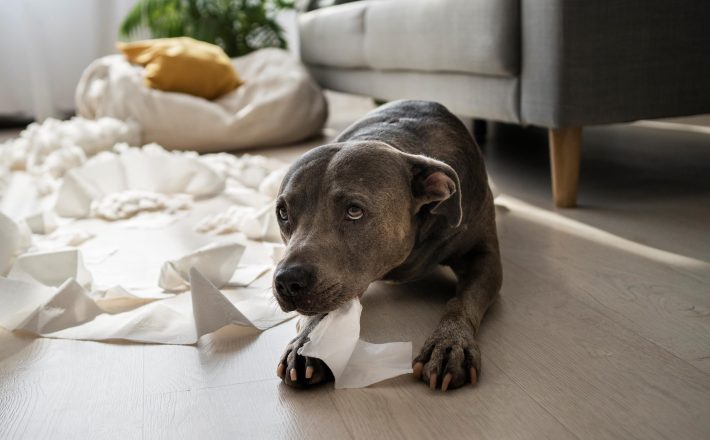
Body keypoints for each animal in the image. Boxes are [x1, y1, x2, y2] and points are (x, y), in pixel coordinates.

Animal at [276, 99, 504, 392]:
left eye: (354, 211)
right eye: (283, 213)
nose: (287, 281)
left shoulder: (484, 257)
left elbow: (462, 301)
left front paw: (450, 343)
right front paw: (307, 342)